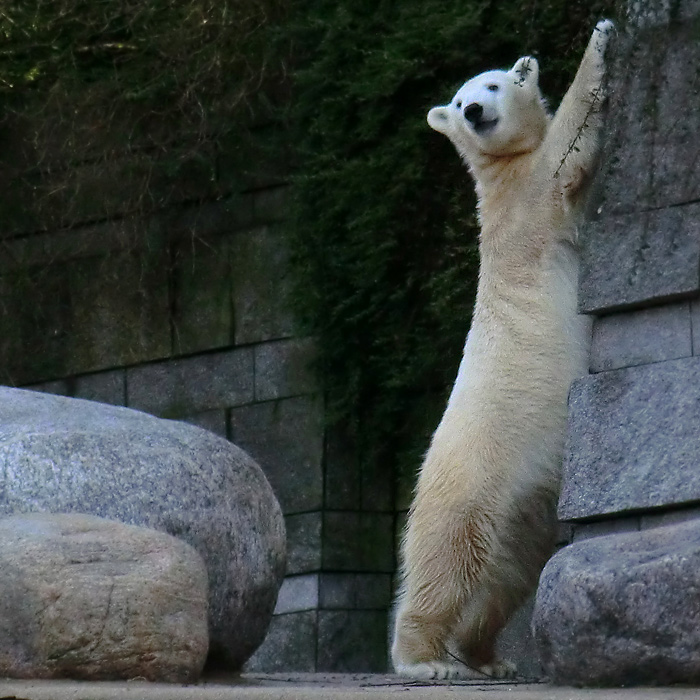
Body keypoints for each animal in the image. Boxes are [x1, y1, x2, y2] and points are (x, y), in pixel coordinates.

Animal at [392, 20, 616, 680]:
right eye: (463, 97)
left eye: (488, 86)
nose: (470, 110)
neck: (497, 176)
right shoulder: (530, 200)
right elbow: (569, 146)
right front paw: (602, 40)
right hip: (470, 476)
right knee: (447, 558)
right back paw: (426, 660)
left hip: (520, 503)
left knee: (504, 577)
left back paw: (489, 658)